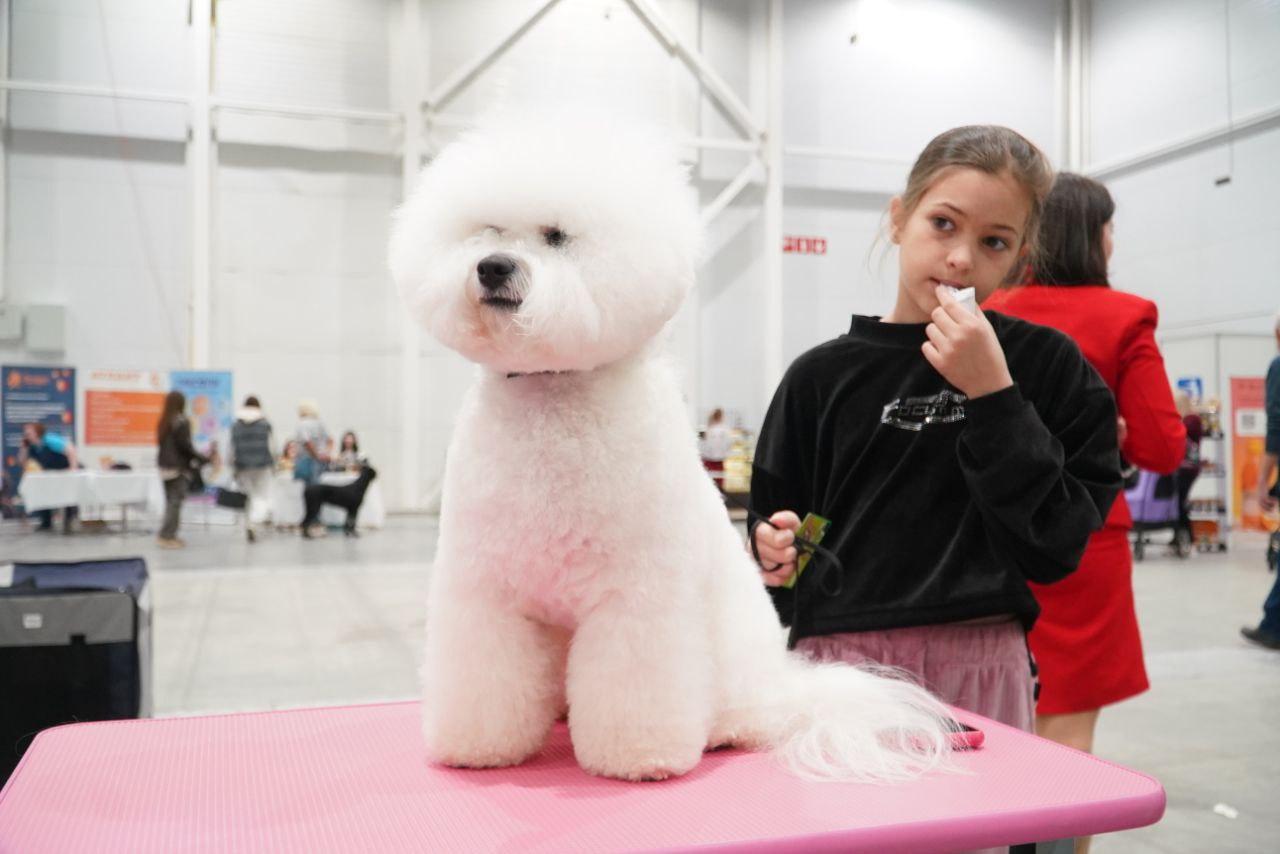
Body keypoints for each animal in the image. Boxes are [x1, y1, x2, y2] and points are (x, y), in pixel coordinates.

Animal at [389, 117, 953, 782]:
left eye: (556, 236)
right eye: (487, 231)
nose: (492, 267)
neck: (552, 396)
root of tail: (792, 692)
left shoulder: (636, 597)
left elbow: (638, 680)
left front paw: (638, 757)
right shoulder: (486, 590)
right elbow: (486, 674)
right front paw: (480, 746)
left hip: (736, 655)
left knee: (750, 711)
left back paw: (728, 728)